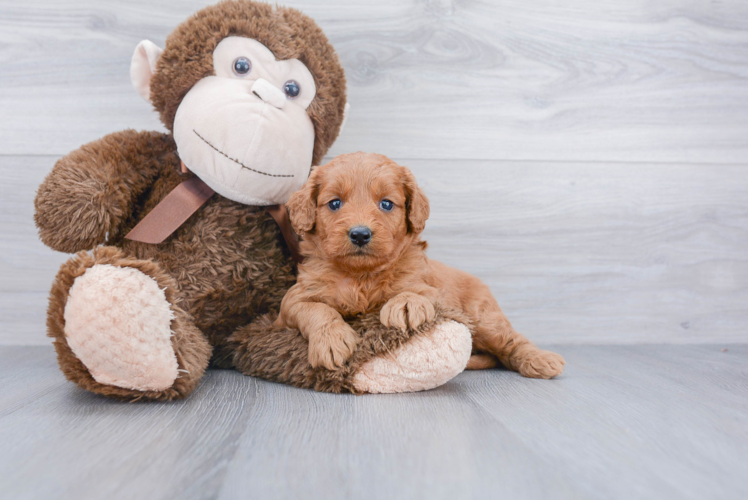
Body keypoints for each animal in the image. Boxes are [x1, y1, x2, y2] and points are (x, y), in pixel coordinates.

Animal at [278, 152, 564, 378]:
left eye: (386, 204)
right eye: (335, 203)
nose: (360, 234)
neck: (361, 276)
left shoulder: (431, 290)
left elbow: (416, 292)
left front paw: (405, 304)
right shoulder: (292, 301)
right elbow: (317, 310)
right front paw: (331, 340)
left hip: (484, 319)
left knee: (512, 341)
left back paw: (541, 360)